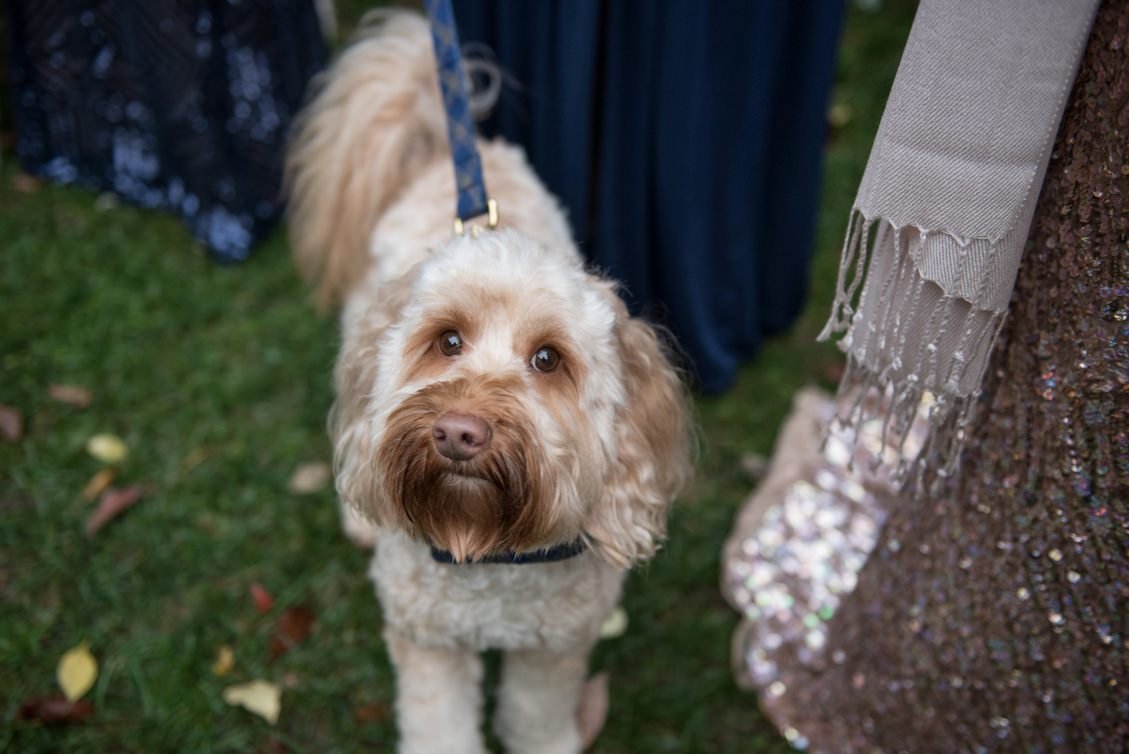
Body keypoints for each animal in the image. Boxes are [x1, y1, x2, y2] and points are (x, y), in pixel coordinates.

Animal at [284, 11, 686, 753]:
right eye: (447, 342)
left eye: (549, 359)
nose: (459, 432)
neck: (491, 554)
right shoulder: (429, 644)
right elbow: (440, 725)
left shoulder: (554, 650)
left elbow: (535, 716)